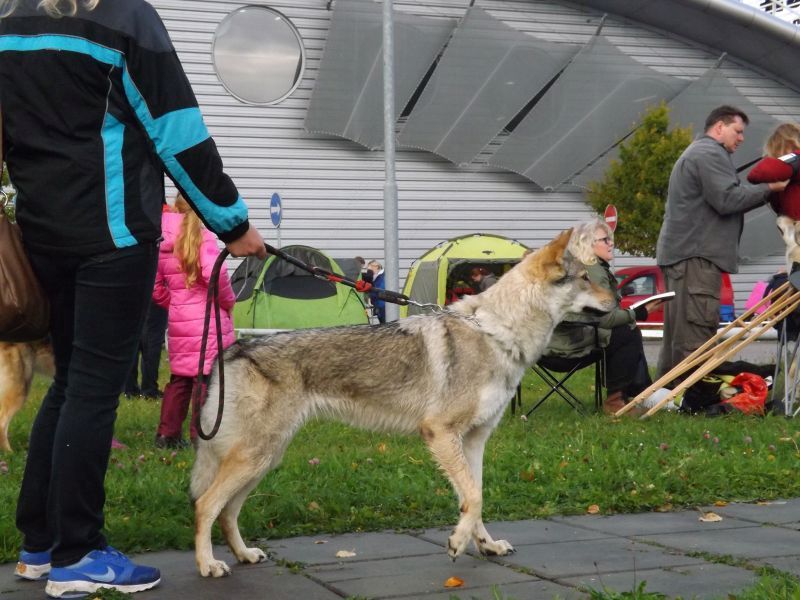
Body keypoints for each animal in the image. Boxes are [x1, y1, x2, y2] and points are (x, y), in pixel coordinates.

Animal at [191, 230, 616, 576]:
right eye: (584, 278)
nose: (618, 301)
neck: (497, 332)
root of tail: (235, 349)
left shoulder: (475, 441)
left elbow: (476, 498)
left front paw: (485, 545)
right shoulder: (441, 433)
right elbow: (473, 497)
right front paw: (457, 543)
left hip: (265, 459)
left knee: (227, 512)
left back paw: (244, 555)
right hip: (255, 457)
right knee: (205, 505)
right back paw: (208, 565)